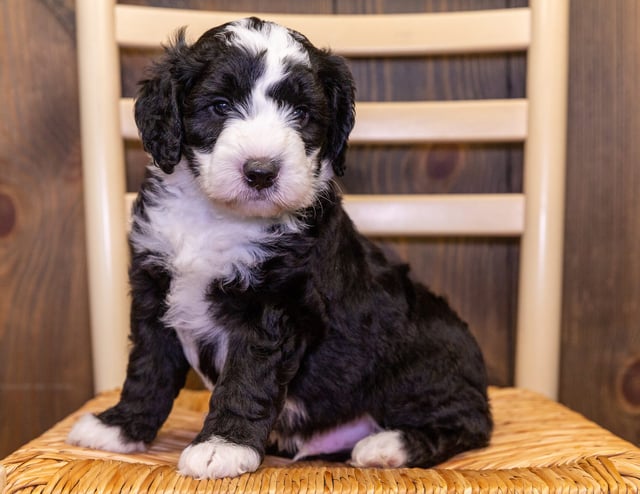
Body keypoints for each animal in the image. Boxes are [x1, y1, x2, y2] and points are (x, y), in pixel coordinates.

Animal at [67, 17, 492, 476]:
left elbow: (247, 379)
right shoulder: (154, 288)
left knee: (469, 422)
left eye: (302, 114)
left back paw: (387, 446)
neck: (219, 218)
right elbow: (148, 367)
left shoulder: (274, 305)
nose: (260, 172)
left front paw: (223, 446)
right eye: (220, 106)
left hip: (424, 360)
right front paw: (119, 427)